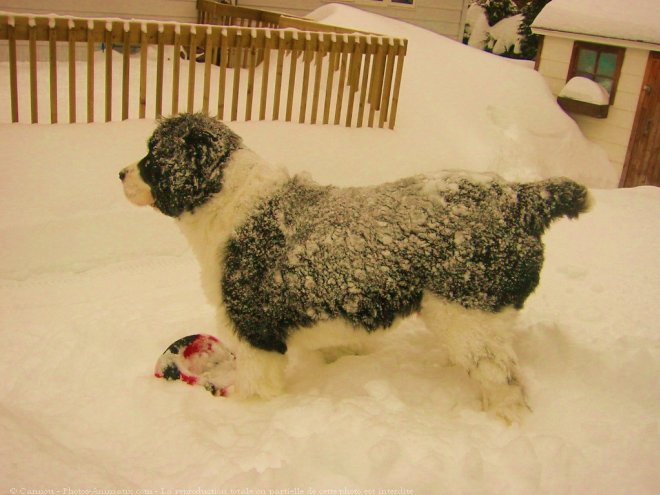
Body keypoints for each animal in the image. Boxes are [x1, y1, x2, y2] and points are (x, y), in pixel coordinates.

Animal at [121, 113, 592, 422]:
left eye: (152, 155)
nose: (120, 173)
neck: (228, 197)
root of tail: (520, 197)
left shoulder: (254, 328)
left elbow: (256, 385)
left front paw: (246, 416)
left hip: (466, 312)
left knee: (503, 380)